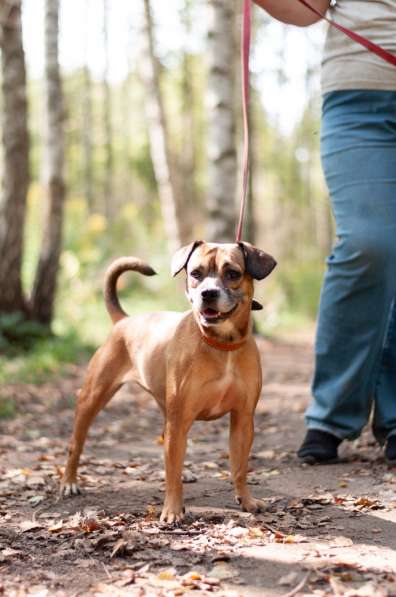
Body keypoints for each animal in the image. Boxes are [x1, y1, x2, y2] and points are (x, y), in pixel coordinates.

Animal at [61, 241, 276, 520]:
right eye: (195, 273)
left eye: (233, 273)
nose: (208, 293)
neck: (221, 344)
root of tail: (124, 320)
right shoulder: (180, 417)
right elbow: (171, 474)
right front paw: (173, 510)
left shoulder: (242, 418)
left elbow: (239, 467)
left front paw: (247, 500)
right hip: (93, 398)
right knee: (75, 444)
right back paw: (69, 482)